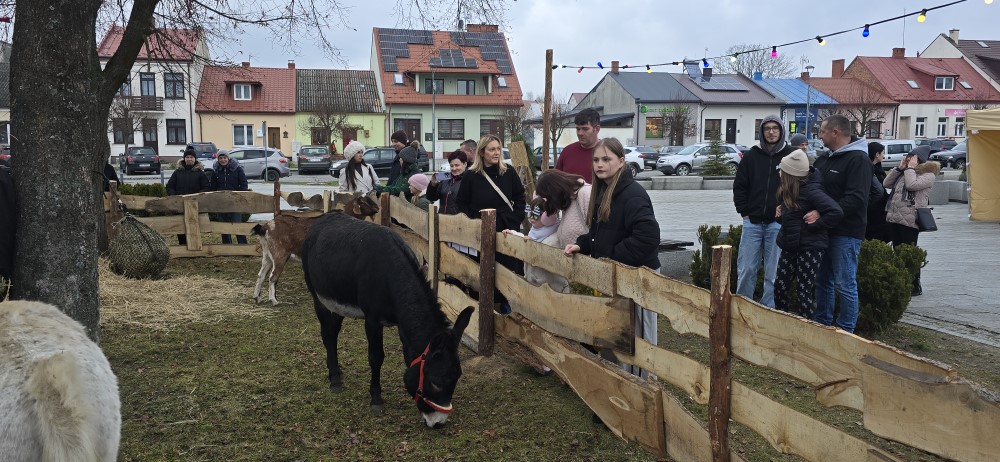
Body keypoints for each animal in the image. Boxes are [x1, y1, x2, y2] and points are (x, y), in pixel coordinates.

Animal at [301, 212, 474, 428]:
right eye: (436, 381)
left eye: (457, 378)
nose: (438, 423)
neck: (389, 273)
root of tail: (324, 218)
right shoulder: (372, 320)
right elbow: (376, 357)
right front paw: (376, 398)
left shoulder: (402, 322)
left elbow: (407, 355)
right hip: (318, 298)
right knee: (327, 335)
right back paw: (334, 379)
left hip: (337, 302)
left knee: (333, 333)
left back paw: (337, 372)